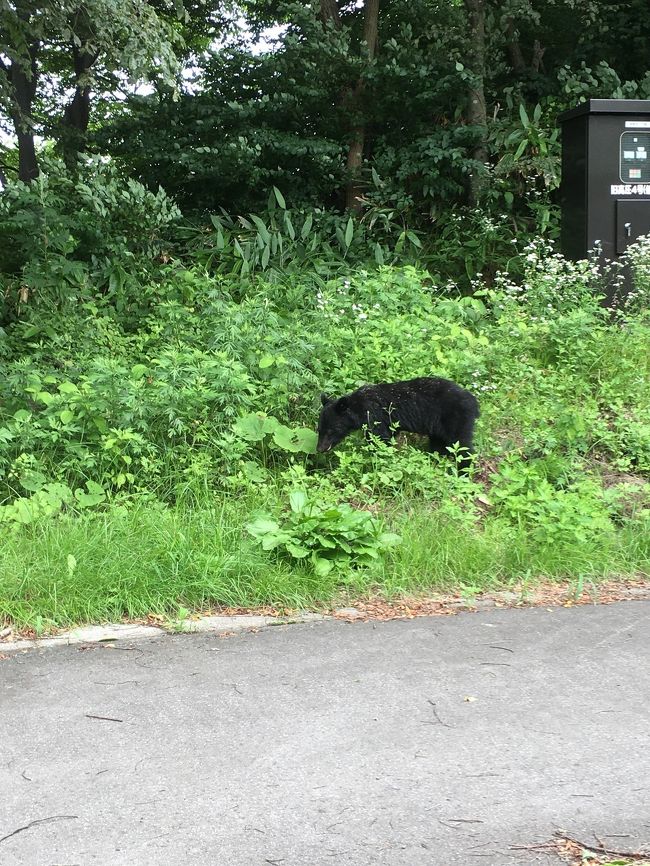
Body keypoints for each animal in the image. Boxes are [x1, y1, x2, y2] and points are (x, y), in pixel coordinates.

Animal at [316, 376, 478, 470]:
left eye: (331, 430)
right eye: (319, 429)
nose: (319, 449)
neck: (359, 407)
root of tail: (474, 402)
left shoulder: (375, 417)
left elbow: (380, 439)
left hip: (455, 420)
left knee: (462, 446)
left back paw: (462, 471)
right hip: (437, 428)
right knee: (439, 445)